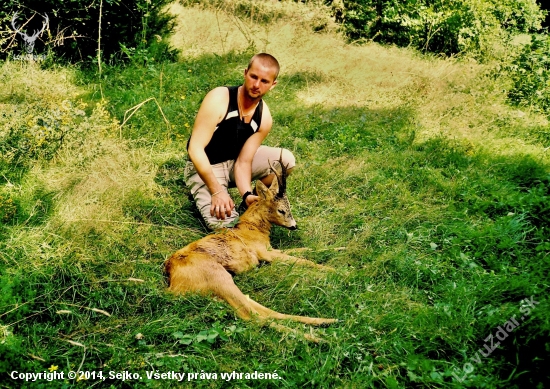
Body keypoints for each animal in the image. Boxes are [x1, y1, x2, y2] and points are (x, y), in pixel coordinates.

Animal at [165, 155, 336, 324]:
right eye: (281, 210)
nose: (294, 226)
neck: (253, 228)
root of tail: (172, 281)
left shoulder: (269, 247)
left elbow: (305, 250)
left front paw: (336, 249)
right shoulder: (263, 252)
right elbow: (302, 260)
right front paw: (334, 269)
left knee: (253, 307)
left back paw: (326, 321)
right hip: (215, 274)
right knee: (253, 315)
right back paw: (320, 326)